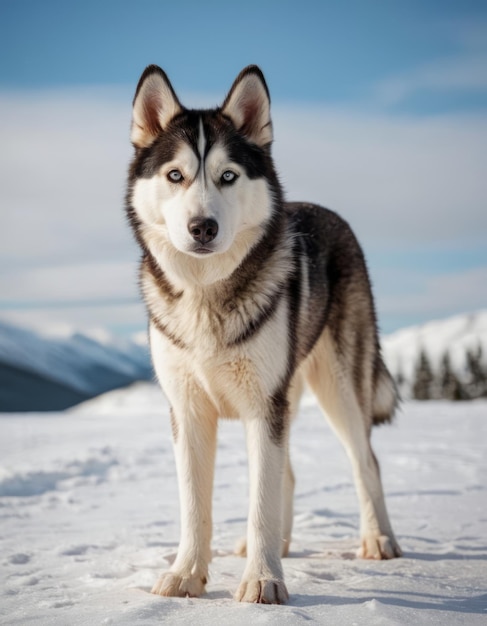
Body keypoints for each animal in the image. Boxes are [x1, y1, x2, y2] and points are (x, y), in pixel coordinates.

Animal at [127, 66, 402, 604]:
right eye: (176, 175)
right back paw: (288, 543)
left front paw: (263, 582)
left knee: (367, 462)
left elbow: (260, 504)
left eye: (228, 176)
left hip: (338, 388)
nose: (203, 226)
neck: (206, 294)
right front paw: (187, 575)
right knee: (289, 472)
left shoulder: (261, 406)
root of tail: (326, 210)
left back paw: (378, 539)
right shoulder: (188, 409)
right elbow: (196, 506)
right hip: (287, 396)